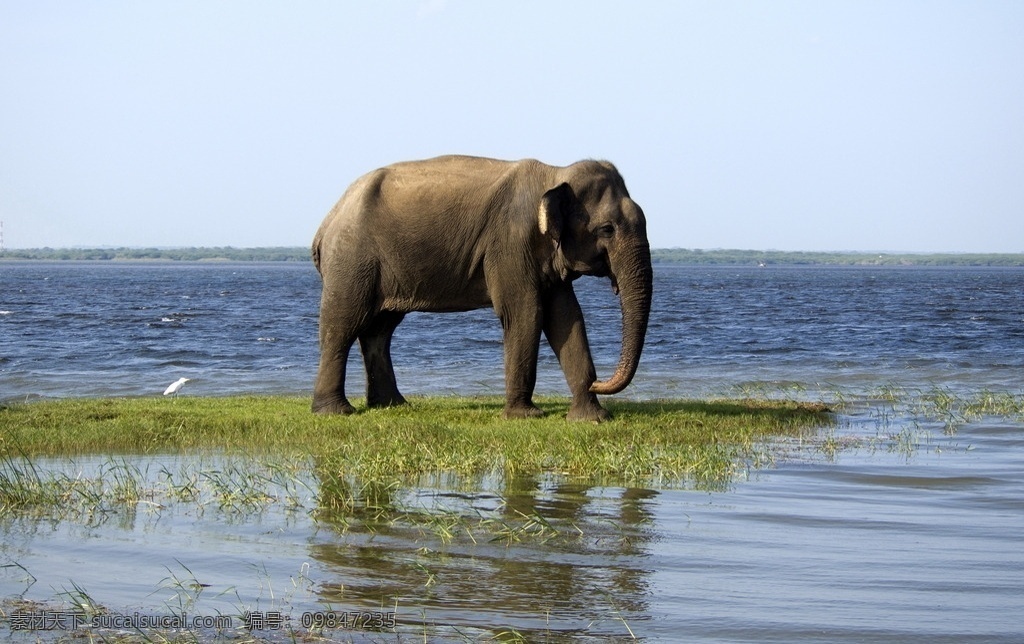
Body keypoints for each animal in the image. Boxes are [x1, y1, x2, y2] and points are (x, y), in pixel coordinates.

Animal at [307, 153, 651, 419]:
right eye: (607, 229)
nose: (598, 381)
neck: (555, 173)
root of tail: (326, 223)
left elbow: (566, 317)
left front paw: (593, 418)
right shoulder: (510, 244)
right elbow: (525, 312)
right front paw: (524, 416)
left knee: (379, 329)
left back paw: (392, 405)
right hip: (352, 260)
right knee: (343, 324)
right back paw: (335, 411)